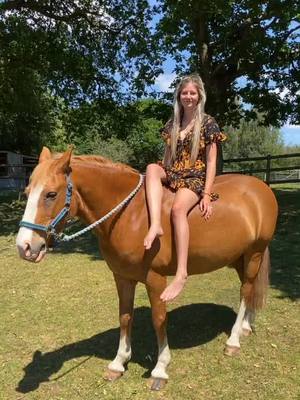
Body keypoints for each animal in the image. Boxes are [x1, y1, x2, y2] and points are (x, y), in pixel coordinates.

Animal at [16, 148, 278, 390]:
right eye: (27, 193)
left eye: (51, 194)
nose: (24, 246)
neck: (131, 214)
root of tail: (261, 188)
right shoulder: (122, 277)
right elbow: (124, 316)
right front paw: (118, 363)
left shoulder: (155, 279)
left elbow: (158, 318)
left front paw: (160, 368)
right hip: (240, 257)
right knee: (249, 289)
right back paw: (245, 326)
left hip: (254, 253)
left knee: (246, 290)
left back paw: (233, 340)